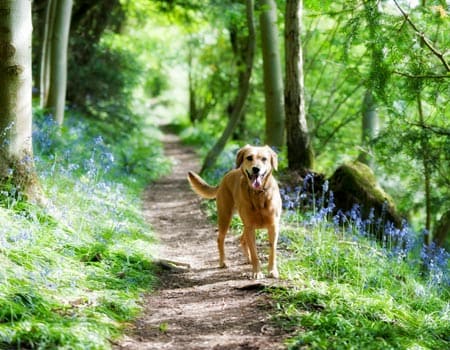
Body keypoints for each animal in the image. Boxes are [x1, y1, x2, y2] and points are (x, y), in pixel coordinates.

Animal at [187, 144, 282, 278]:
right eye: (249, 157)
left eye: (264, 159)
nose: (256, 169)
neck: (258, 194)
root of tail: (224, 178)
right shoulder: (250, 227)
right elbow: (255, 253)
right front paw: (257, 272)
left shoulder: (273, 226)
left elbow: (272, 250)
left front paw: (272, 271)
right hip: (225, 216)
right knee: (220, 239)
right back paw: (223, 262)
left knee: (242, 239)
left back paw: (247, 259)